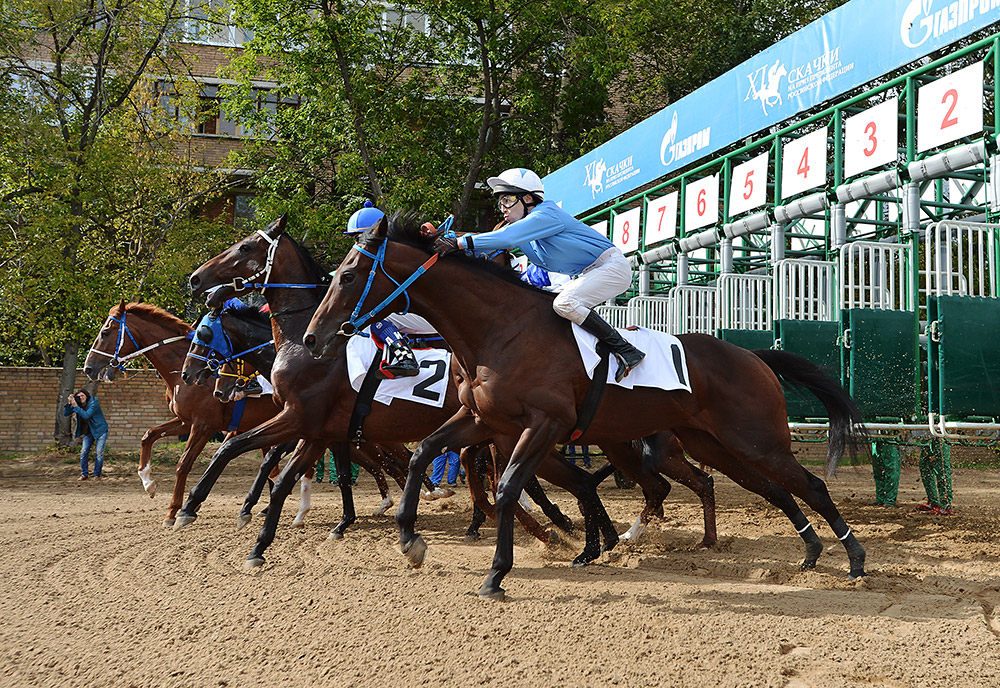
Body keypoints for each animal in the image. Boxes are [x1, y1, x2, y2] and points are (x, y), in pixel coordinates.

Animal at [81, 302, 308, 528]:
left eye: (105, 332)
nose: (88, 367)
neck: (180, 369)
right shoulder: (185, 421)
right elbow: (149, 435)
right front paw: (148, 483)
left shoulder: (204, 425)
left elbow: (184, 464)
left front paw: (174, 511)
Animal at [302, 212, 868, 600]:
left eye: (348, 277)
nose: (313, 338)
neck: (500, 331)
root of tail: (752, 355)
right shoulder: (482, 420)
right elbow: (424, 456)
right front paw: (409, 539)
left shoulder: (543, 425)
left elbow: (508, 487)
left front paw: (498, 573)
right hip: (718, 444)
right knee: (770, 488)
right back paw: (810, 552)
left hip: (755, 438)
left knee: (810, 485)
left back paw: (855, 559)